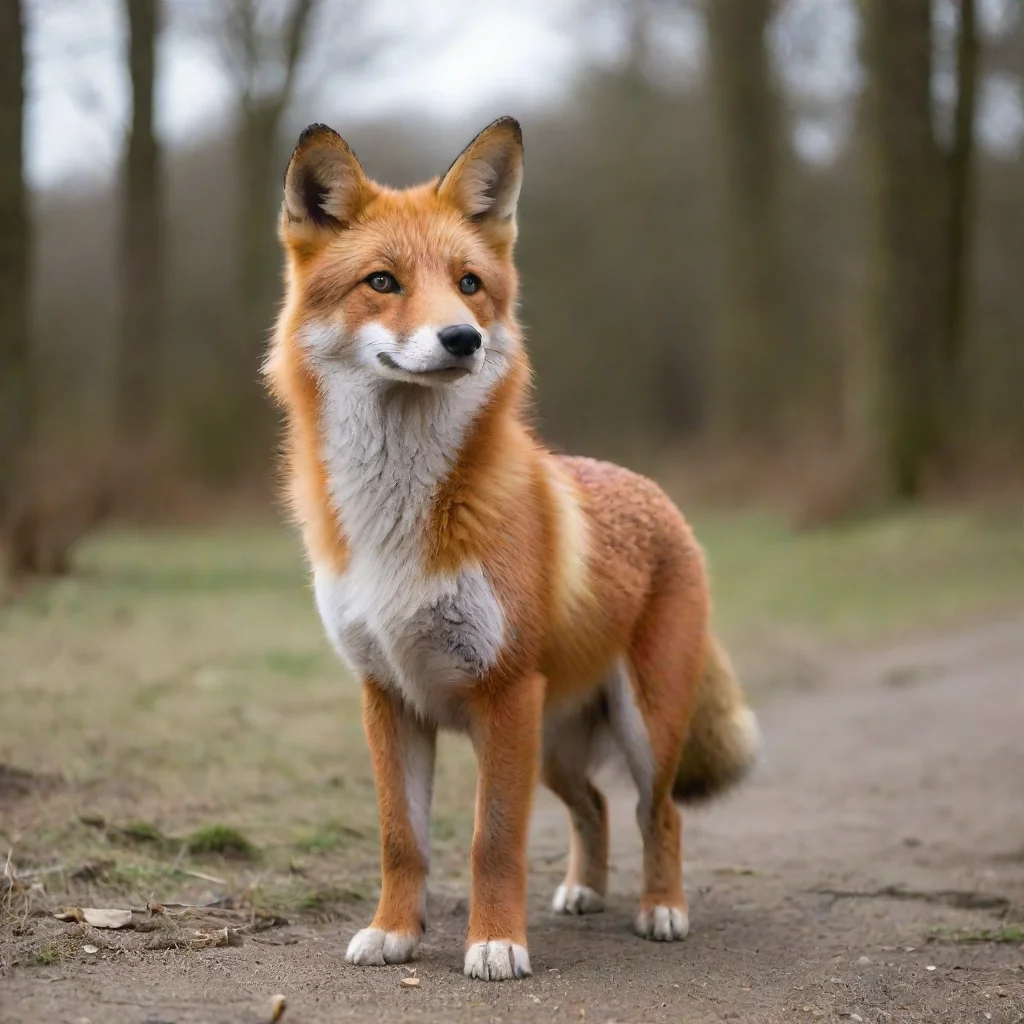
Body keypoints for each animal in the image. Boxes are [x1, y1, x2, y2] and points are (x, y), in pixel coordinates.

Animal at [264, 116, 759, 982]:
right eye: (382, 283)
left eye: (468, 284)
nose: (462, 339)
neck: (399, 522)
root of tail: (658, 495)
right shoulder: (387, 696)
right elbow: (402, 839)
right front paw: (395, 931)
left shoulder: (502, 693)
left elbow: (492, 842)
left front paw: (495, 942)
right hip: (552, 744)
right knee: (595, 808)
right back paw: (584, 891)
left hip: (637, 725)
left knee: (657, 813)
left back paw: (661, 909)